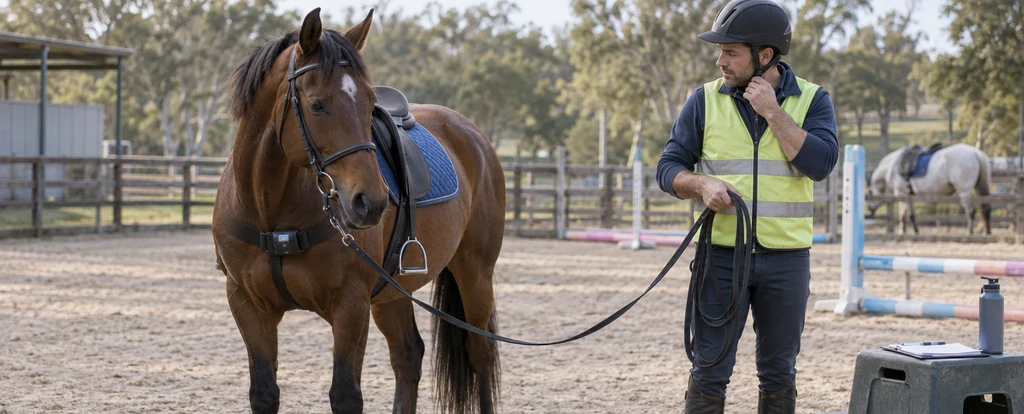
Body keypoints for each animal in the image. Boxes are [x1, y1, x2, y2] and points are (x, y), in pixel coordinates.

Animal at [211, 8, 505, 414]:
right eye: (317, 104)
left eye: (369, 102)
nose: (372, 202)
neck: (271, 210)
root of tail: (473, 136)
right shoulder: (247, 304)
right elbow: (264, 393)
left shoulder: (350, 305)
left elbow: (345, 395)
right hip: (393, 292)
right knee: (408, 355)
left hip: (475, 272)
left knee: (480, 352)